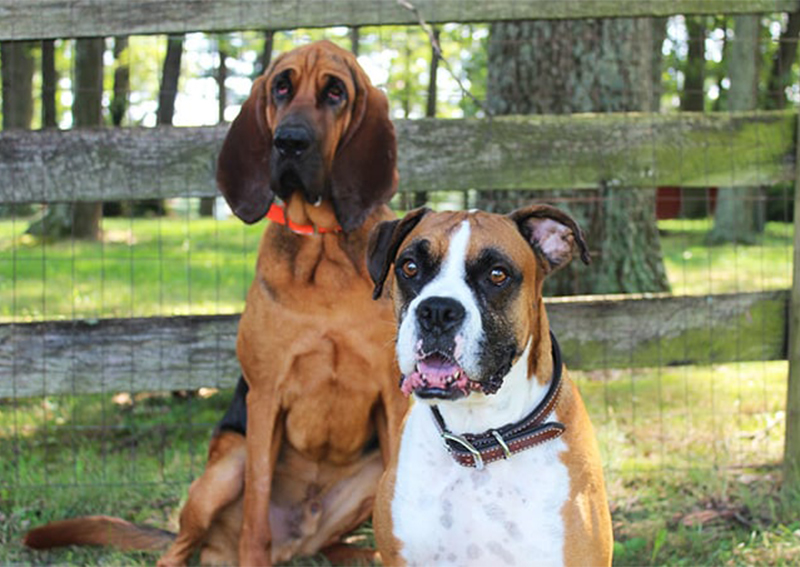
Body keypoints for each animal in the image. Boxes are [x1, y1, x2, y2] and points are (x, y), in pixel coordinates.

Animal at [21, 41, 410, 567]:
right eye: (281, 86)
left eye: (335, 92)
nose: (289, 142)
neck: (323, 246)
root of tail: (296, 543)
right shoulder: (265, 397)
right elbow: (256, 512)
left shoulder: (392, 399)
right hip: (226, 467)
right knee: (182, 546)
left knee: (337, 540)